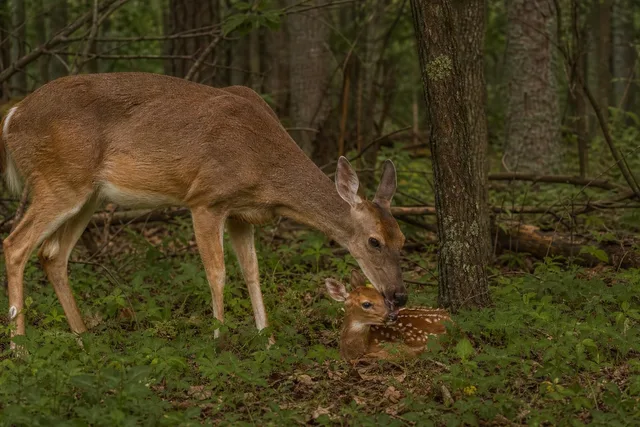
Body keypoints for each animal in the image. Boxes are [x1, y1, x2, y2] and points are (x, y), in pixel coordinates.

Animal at [0, 72, 407, 348]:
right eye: (373, 241)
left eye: (402, 239)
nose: (399, 295)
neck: (265, 167)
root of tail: (12, 116)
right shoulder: (206, 199)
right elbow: (218, 273)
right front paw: (219, 338)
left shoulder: (243, 214)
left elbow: (253, 272)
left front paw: (268, 340)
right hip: (59, 181)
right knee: (16, 244)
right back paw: (21, 350)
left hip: (90, 195)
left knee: (52, 254)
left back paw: (84, 338)